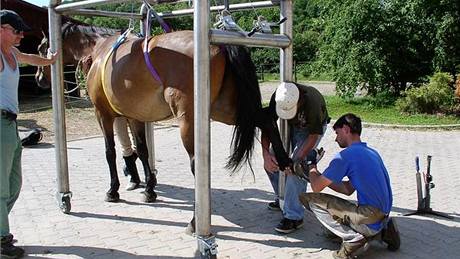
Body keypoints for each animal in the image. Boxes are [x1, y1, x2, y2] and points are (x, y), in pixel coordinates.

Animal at [38, 22, 292, 234]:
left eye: (41, 47)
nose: (40, 79)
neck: (100, 49)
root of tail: (218, 43)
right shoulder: (135, 117)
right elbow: (142, 152)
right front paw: (149, 190)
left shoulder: (104, 115)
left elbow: (110, 152)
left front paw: (113, 190)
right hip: (226, 110)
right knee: (265, 120)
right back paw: (284, 161)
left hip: (190, 121)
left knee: (198, 166)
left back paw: (195, 222)